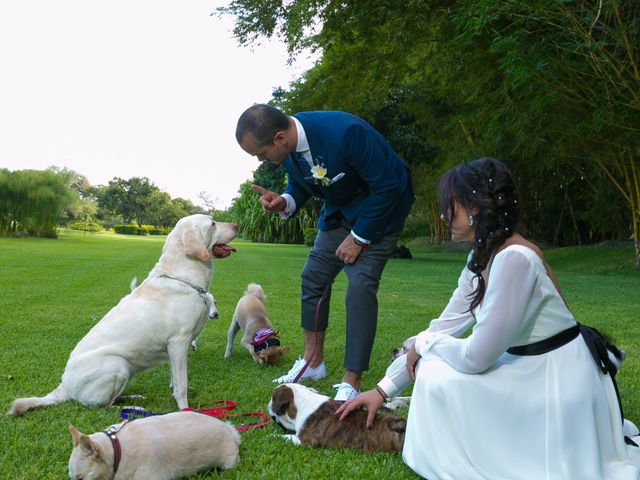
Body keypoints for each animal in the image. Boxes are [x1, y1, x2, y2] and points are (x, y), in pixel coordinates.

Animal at [8, 214, 238, 416]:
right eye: (213, 224)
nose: (237, 225)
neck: (182, 278)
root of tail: (64, 386)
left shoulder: (175, 349)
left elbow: (175, 378)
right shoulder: (178, 342)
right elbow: (181, 383)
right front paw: (185, 410)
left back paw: (134, 398)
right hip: (119, 365)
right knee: (102, 406)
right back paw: (135, 408)